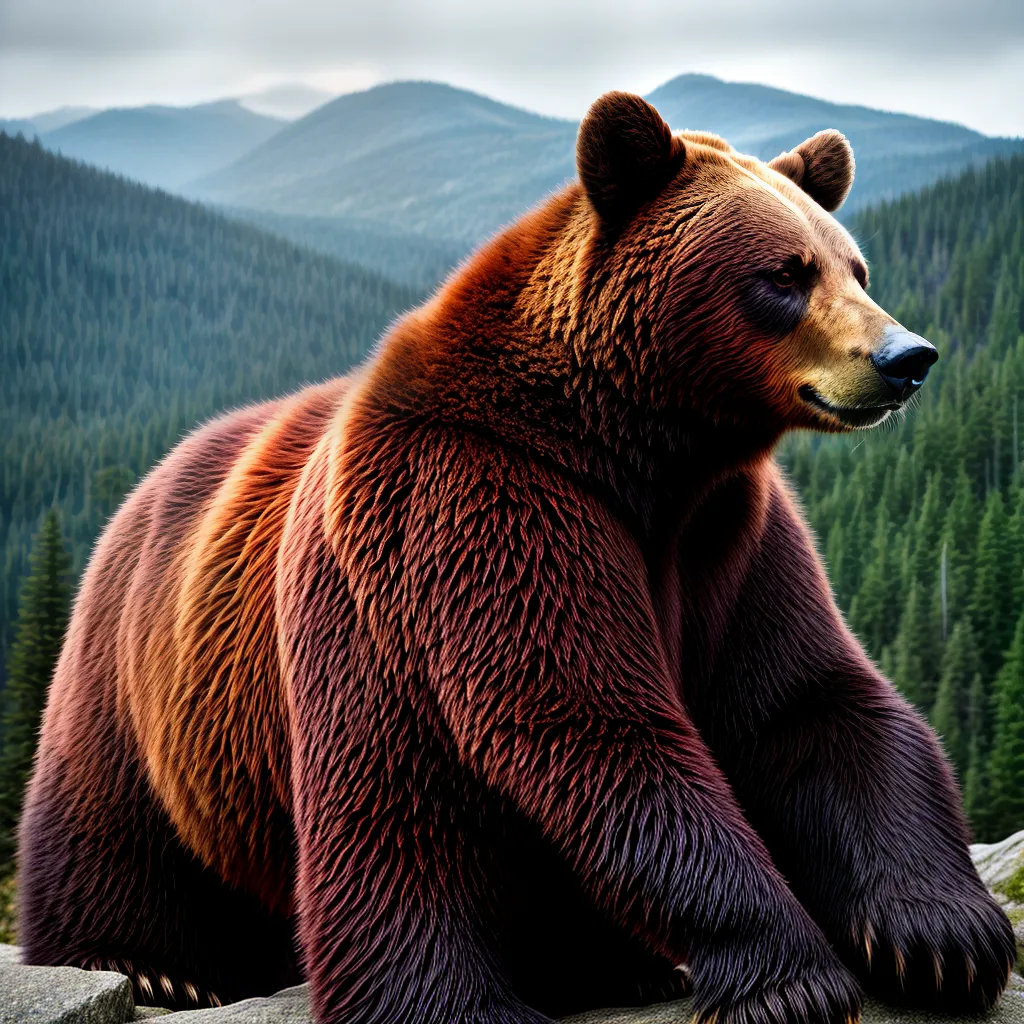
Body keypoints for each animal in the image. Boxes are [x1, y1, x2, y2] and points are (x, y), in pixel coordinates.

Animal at [17, 91, 1016, 1024]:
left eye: (856, 266)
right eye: (784, 273)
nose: (907, 356)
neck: (639, 450)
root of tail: (149, 480)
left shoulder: (730, 535)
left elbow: (810, 700)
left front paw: (944, 936)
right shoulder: (478, 506)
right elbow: (588, 726)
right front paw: (790, 976)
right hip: (159, 670)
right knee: (251, 827)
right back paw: (162, 966)